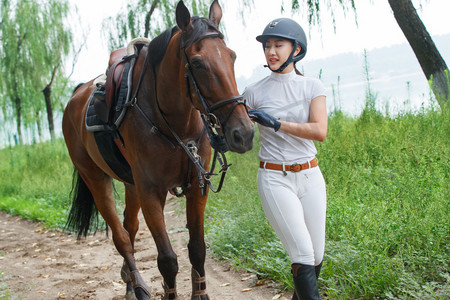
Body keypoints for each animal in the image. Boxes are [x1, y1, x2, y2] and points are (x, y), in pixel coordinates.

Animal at [62, 1, 255, 298]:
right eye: (197, 63)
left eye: (232, 57)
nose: (242, 133)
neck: (176, 124)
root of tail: (77, 95)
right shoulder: (151, 191)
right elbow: (167, 260)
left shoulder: (195, 186)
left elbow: (197, 249)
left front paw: (200, 292)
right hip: (96, 179)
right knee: (121, 238)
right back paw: (138, 286)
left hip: (132, 185)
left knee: (130, 227)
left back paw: (129, 282)